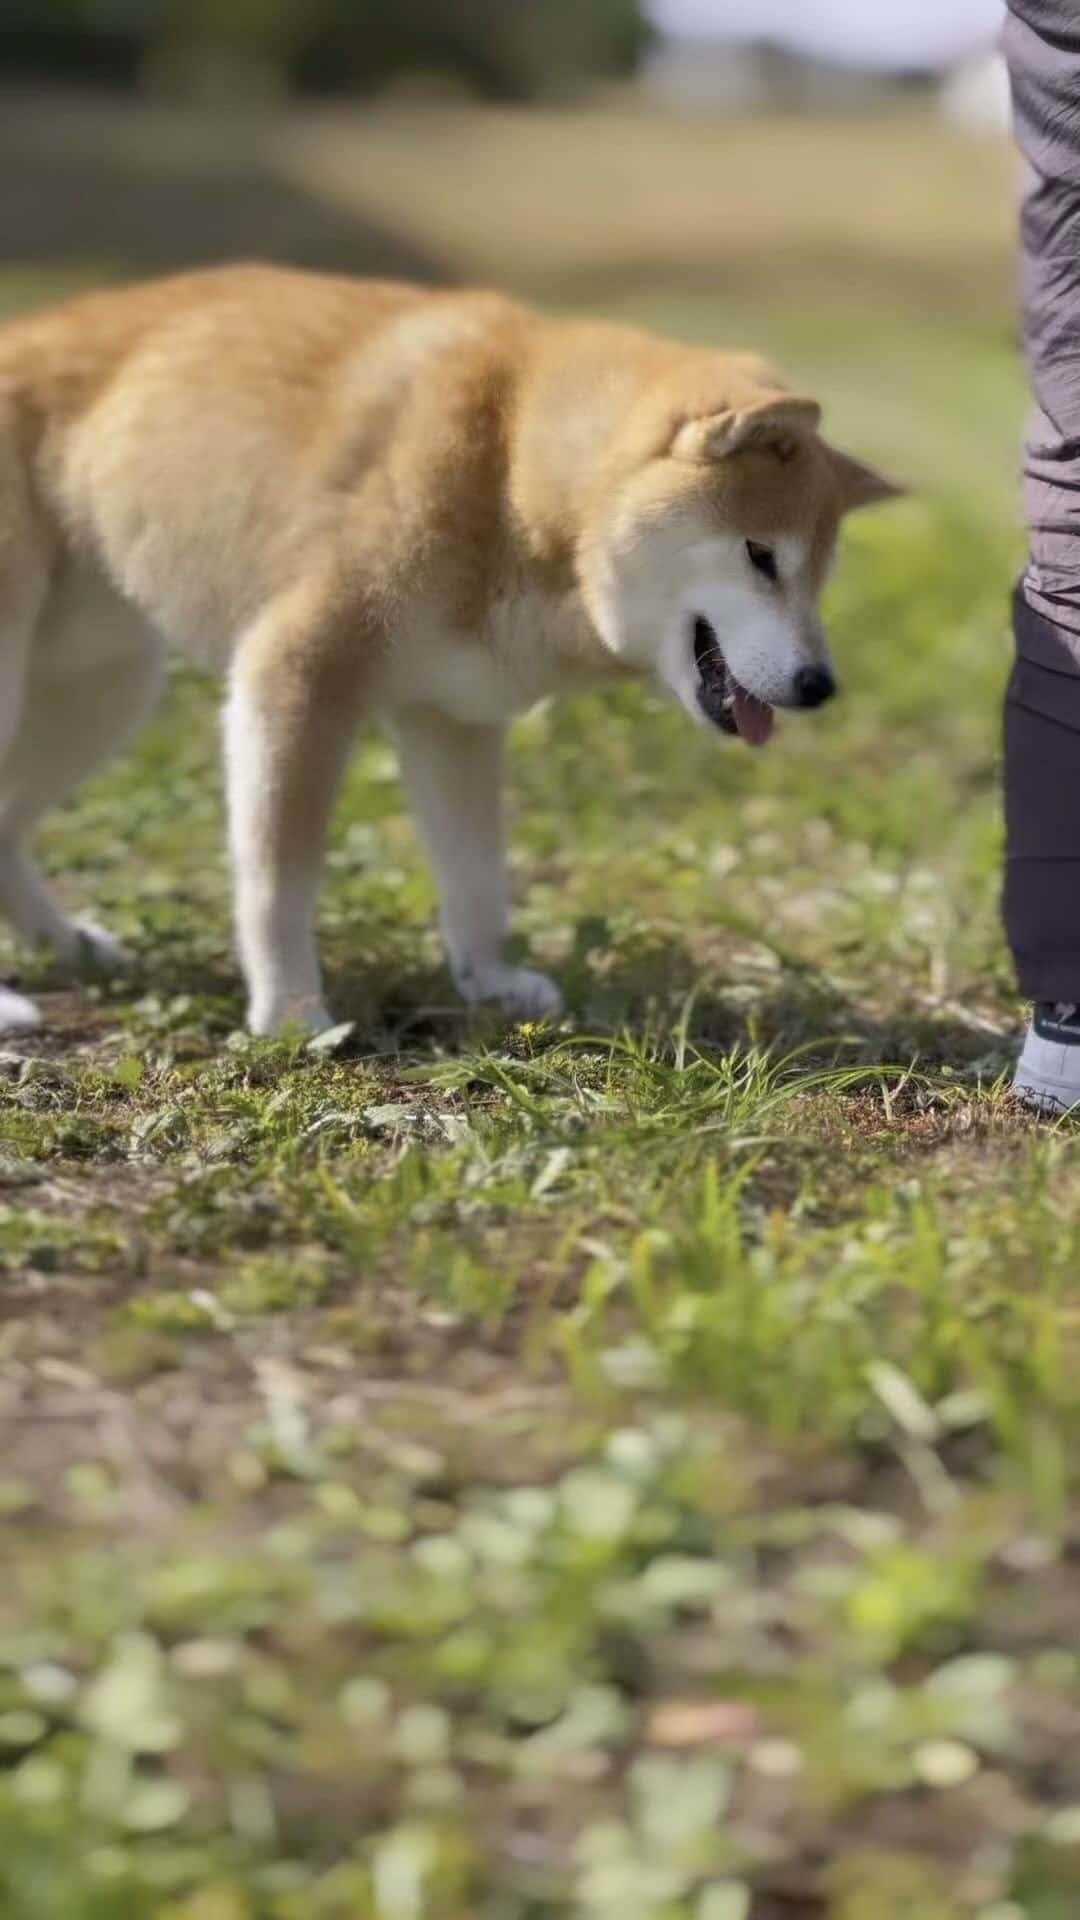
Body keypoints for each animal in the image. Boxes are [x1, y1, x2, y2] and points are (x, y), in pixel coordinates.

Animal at [0, 270, 891, 1036]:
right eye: (761, 556)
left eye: (819, 577)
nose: (820, 685)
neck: (510, 469)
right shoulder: (298, 676)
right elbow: (277, 879)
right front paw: (290, 1011)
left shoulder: (452, 715)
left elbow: (476, 876)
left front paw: (488, 982)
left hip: (103, 690)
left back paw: (63, 943)